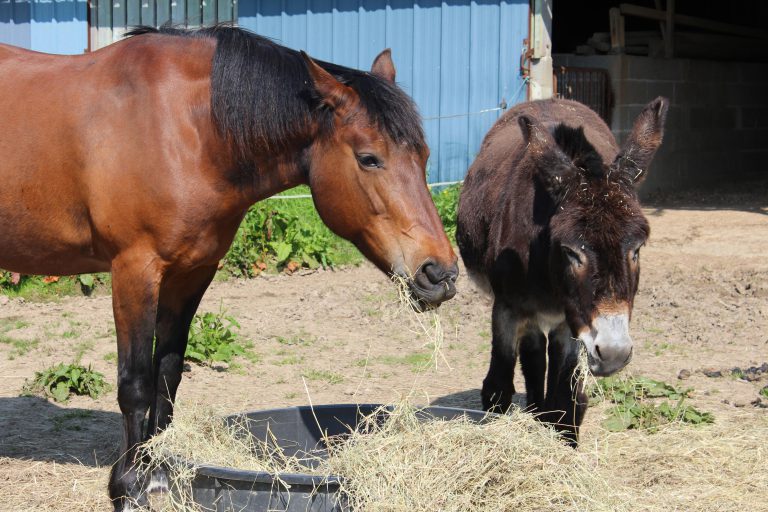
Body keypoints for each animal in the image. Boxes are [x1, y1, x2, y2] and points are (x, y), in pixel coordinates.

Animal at [0, 25, 458, 509]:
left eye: (424, 156)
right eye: (369, 158)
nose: (440, 273)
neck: (185, 130)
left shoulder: (192, 272)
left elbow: (168, 374)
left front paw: (160, 473)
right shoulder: (134, 270)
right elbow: (135, 384)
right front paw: (127, 487)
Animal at [456, 97, 668, 444]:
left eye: (637, 249)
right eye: (570, 251)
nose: (613, 353)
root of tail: (548, 99)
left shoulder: (574, 319)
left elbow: (568, 402)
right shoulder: (507, 307)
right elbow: (498, 388)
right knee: (533, 355)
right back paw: (534, 407)